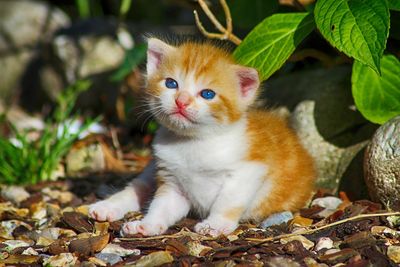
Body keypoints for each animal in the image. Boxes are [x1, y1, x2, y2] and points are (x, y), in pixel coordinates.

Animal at [90, 37, 316, 237]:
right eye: (171, 83)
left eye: (207, 94)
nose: (181, 101)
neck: (194, 142)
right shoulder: (172, 180)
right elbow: (161, 205)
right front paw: (149, 224)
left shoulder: (250, 170)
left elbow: (228, 199)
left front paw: (216, 224)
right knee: (139, 186)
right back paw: (107, 207)